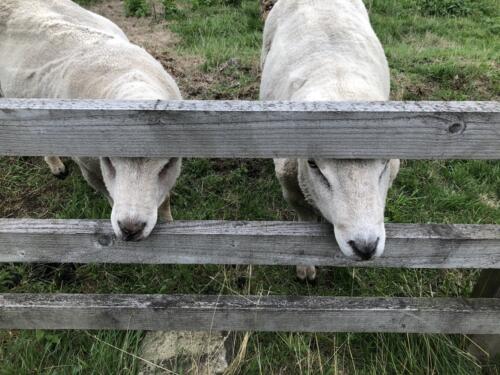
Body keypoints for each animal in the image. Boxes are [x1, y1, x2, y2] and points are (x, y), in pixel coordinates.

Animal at [0, 0, 184, 241]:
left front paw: (169, 222)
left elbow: (165, 199)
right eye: (110, 162)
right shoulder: (90, 168)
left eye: (164, 167)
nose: (130, 228)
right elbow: (109, 195)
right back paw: (56, 166)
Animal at [260, 0, 400, 282]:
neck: (340, 88)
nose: (365, 247)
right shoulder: (292, 186)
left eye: (384, 163)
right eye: (313, 165)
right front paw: (305, 267)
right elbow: (304, 219)